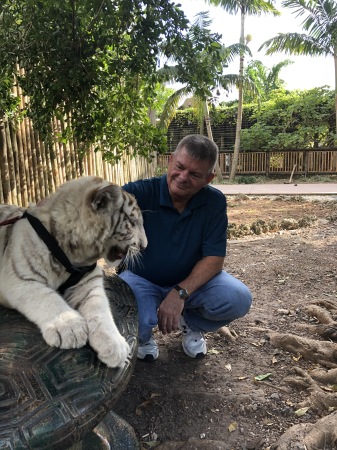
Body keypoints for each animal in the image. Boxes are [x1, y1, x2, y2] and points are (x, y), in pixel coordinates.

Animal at [0, 174, 146, 368]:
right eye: (133, 223)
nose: (145, 246)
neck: (75, 253)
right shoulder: (19, 277)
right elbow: (47, 297)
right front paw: (69, 328)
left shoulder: (88, 284)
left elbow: (100, 308)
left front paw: (115, 346)